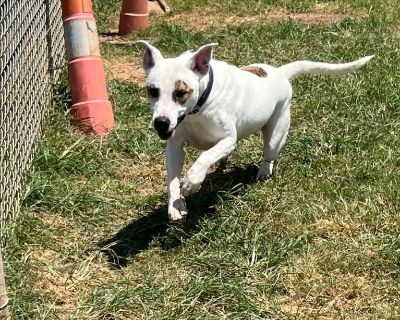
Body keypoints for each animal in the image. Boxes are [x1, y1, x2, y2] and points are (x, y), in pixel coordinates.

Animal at [137, 41, 372, 221]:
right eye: (152, 91)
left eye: (181, 93)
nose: (161, 122)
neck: (198, 109)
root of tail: (279, 73)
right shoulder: (174, 146)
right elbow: (172, 178)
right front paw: (176, 203)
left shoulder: (228, 139)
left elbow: (204, 157)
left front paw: (192, 182)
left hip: (276, 133)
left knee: (269, 153)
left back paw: (264, 171)